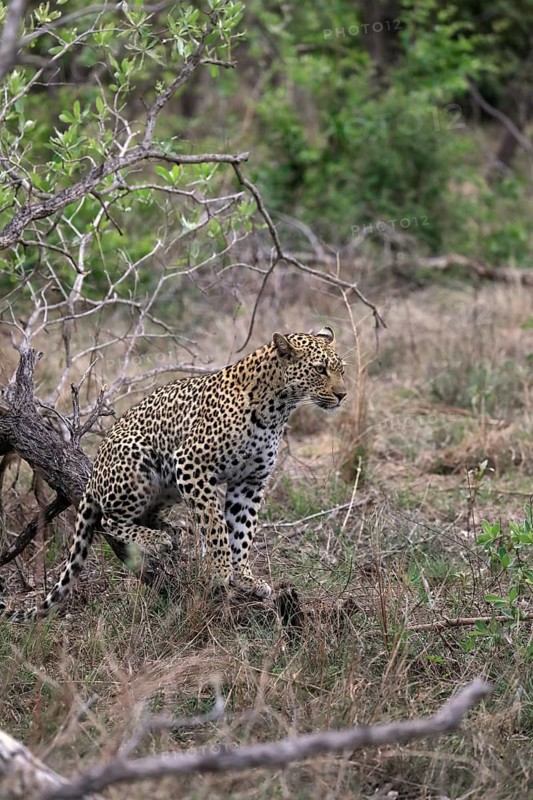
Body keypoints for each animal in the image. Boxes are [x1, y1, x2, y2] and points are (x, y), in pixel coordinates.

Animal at [0, 326, 346, 621]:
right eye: (320, 369)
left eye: (341, 369)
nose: (343, 394)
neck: (278, 407)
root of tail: (94, 474)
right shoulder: (192, 463)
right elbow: (216, 525)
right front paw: (222, 571)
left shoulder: (249, 482)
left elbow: (242, 531)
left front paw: (244, 577)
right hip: (139, 461)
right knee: (108, 520)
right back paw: (156, 539)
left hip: (167, 486)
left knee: (143, 515)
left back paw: (169, 530)